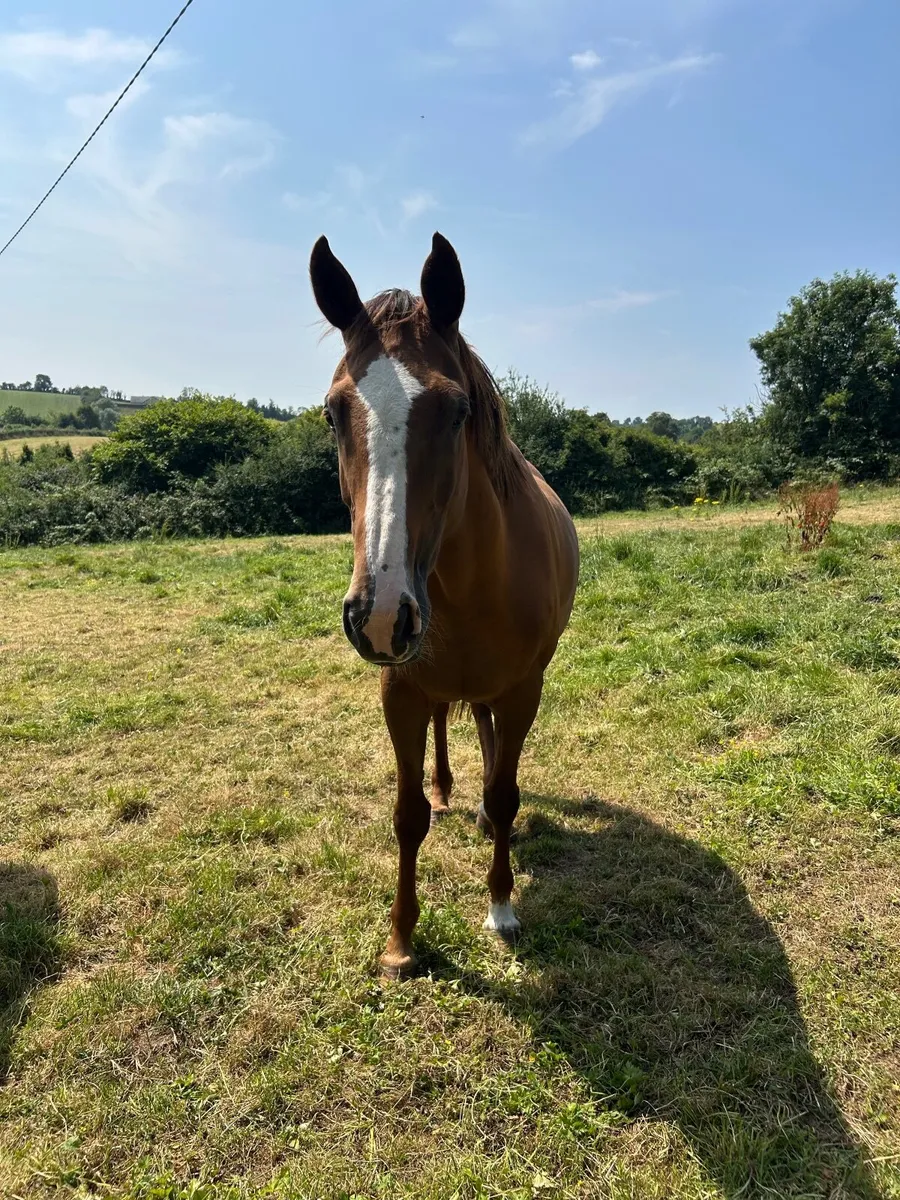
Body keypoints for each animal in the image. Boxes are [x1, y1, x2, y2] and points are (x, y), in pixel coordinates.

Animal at [309, 232, 579, 979]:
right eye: (333, 412)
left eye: (457, 411)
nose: (378, 615)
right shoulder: (400, 690)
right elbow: (406, 816)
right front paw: (401, 941)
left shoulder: (523, 690)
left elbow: (507, 793)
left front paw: (502, 907)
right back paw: (445, 784)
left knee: (488, 744)